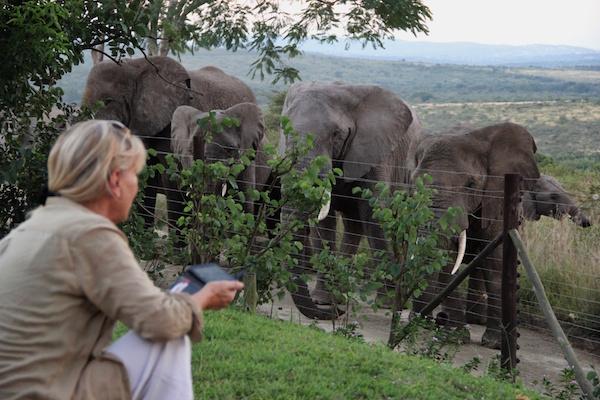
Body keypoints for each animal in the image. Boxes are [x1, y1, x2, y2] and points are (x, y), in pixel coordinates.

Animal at [280, 80, 424, 318]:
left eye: (336, 135)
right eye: (285, 130)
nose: (338, 313)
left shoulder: (378, 154)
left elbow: (375, 215)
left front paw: (386, 304)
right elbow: (325, 223)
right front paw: (323, 301)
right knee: (353, 225)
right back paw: (340, 294)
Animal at [410, 122, 540, 350]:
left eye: (471, 184)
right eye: (414, 183)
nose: (420, 321)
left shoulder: (497, 200)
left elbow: (496, 263)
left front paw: (494, 344)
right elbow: (448, 262)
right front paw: (455, 336)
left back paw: (473, 320)